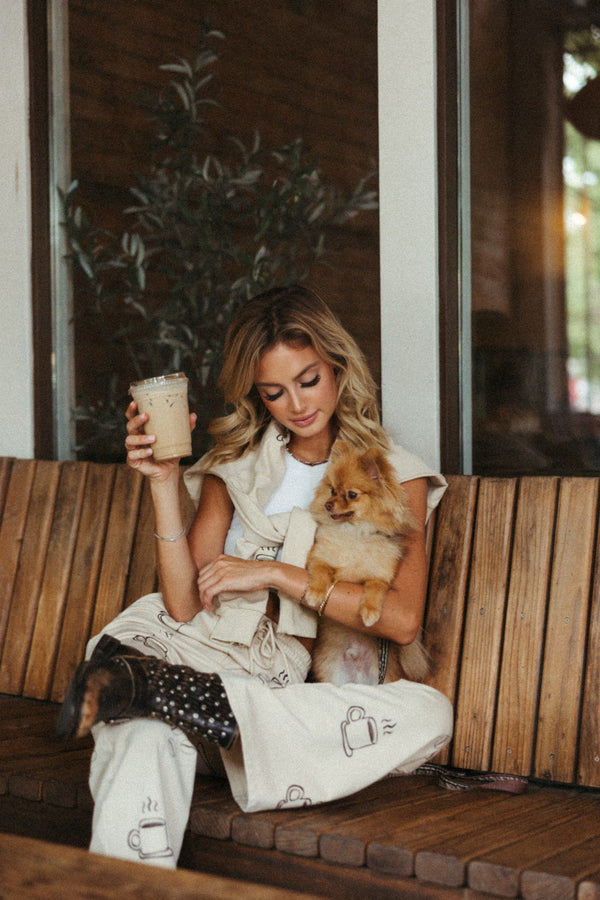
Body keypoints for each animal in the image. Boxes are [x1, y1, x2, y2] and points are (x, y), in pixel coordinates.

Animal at [304, 444, 432, 688]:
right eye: (332, 491)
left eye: (352, 494)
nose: (327, 504)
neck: (353, 534)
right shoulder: (318, 558)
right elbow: (323, 572)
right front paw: (315, 593)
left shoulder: (381, 576)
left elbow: (374, 587)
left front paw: (370, 612)